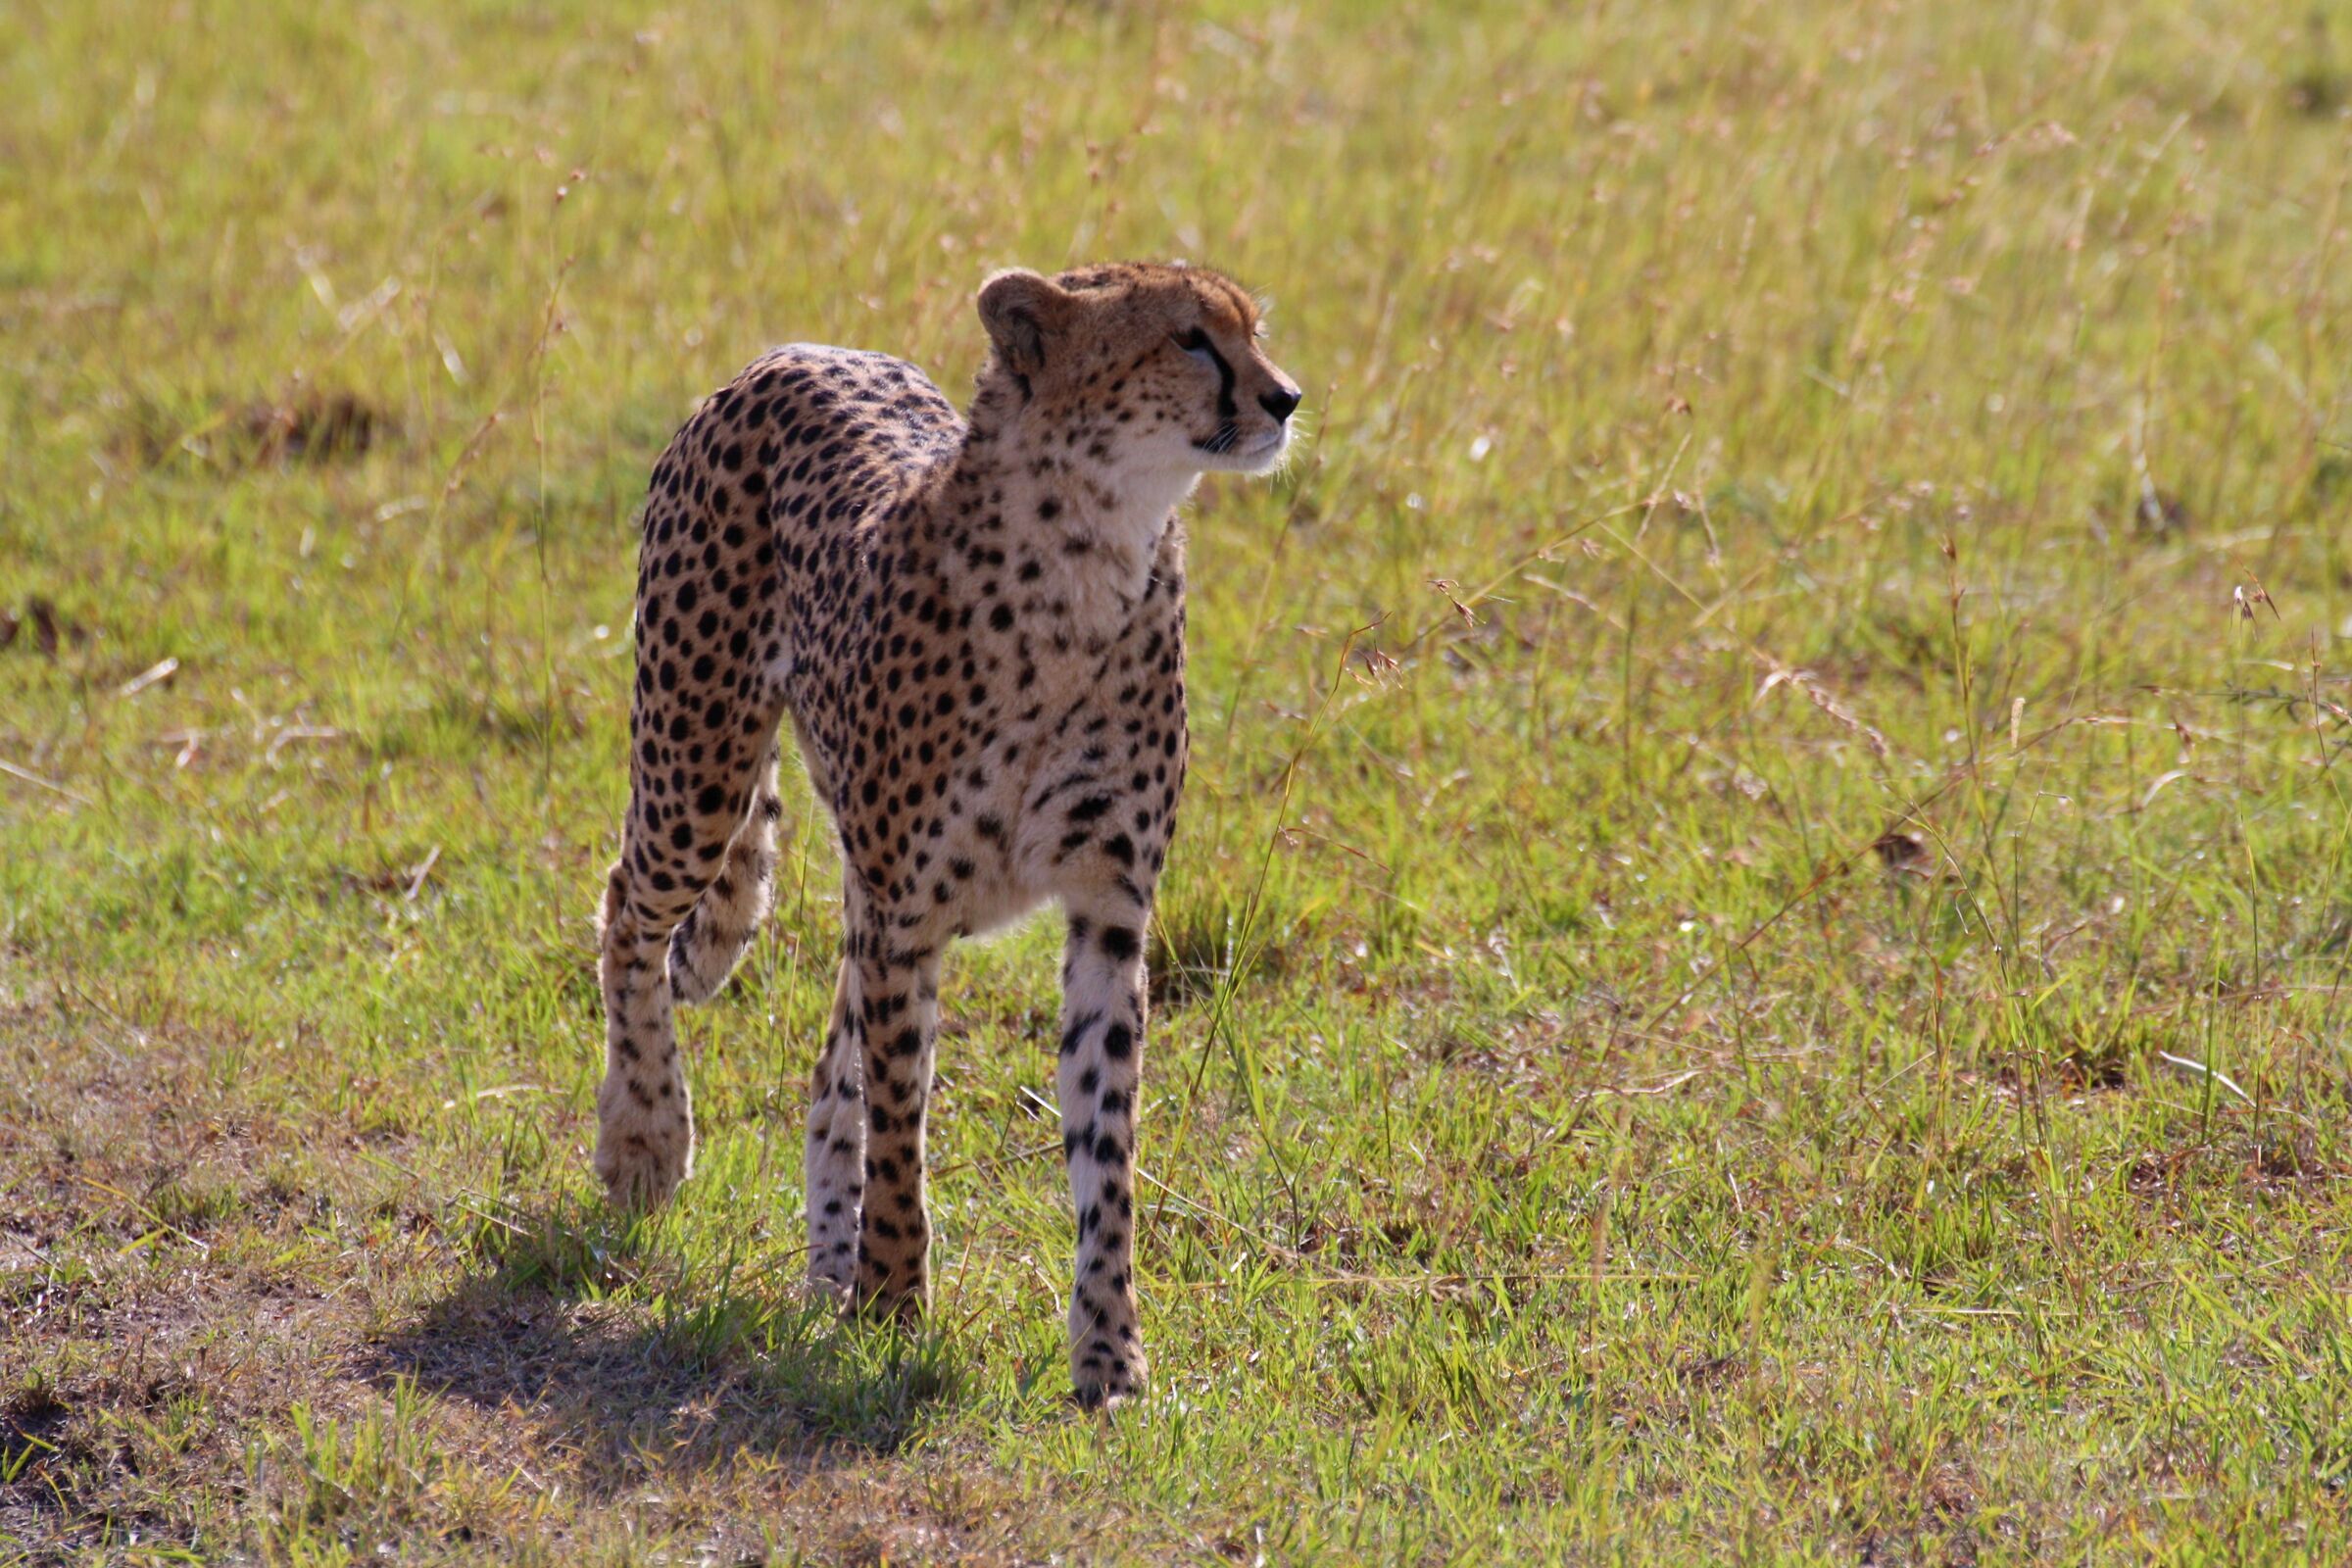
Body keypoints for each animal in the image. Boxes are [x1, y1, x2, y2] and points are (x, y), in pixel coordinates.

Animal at [592, 260, 1302, 1407]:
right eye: (1190, 338)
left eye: (1251, 330)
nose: (1284, 399)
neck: (1092, 555)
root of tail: (799, 351)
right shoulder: (910, 910)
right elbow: (901, 1115)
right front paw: (892, 1300)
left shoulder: (1108, 910)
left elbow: (1105, 1140)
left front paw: (1108, 1352)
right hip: (697, 763)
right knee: (631, 914)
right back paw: (647, 1135)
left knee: (825, 1063)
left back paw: (824, 1259)